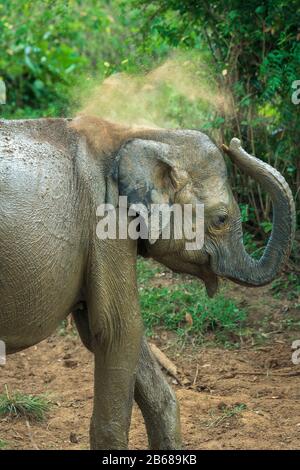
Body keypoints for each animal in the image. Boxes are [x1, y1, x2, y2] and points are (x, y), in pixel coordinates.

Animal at [0, 115, 296, 450]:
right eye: (221, 219)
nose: (232, 143)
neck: (141, 134)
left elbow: (112, 334)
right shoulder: (106, 222)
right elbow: (118, 329)